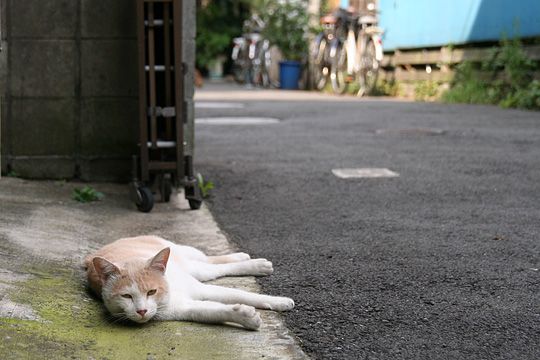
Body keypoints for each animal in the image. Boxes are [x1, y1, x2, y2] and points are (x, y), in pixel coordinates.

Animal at [85, 235, 296, 330]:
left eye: (152, 292)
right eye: (127, 296)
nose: (142, 311)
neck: (170, 291)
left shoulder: (203, 289)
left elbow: (243, 294)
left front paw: (280, 301)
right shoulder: (183, 308)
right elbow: (212, 311)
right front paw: (245, 317)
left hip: (192, 264)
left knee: (211, 263)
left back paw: (253, 262)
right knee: (214, 267)